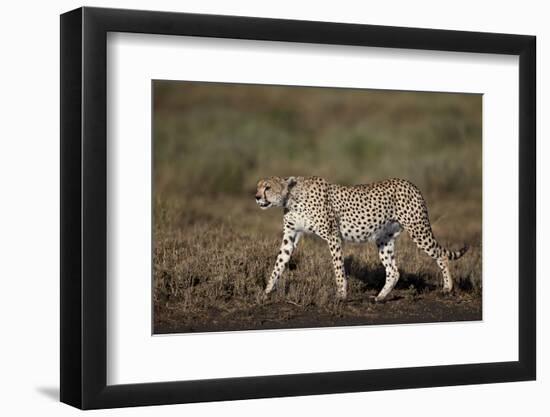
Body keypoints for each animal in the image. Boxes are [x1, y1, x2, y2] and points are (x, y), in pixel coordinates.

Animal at [256, 175, 470, 300]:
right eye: (258, 187)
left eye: (267, 187)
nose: (256, 197)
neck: (291, 198)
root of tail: (410, 183)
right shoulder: (290, 236)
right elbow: (279, 263)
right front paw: (267, 291)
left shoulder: (333, 236)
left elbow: (338, 268)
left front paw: (341, 295)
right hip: (384, 239)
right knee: (394, 270)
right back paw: (380, 297)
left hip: (418, 230)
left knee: (441, 255)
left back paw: (447, 288)